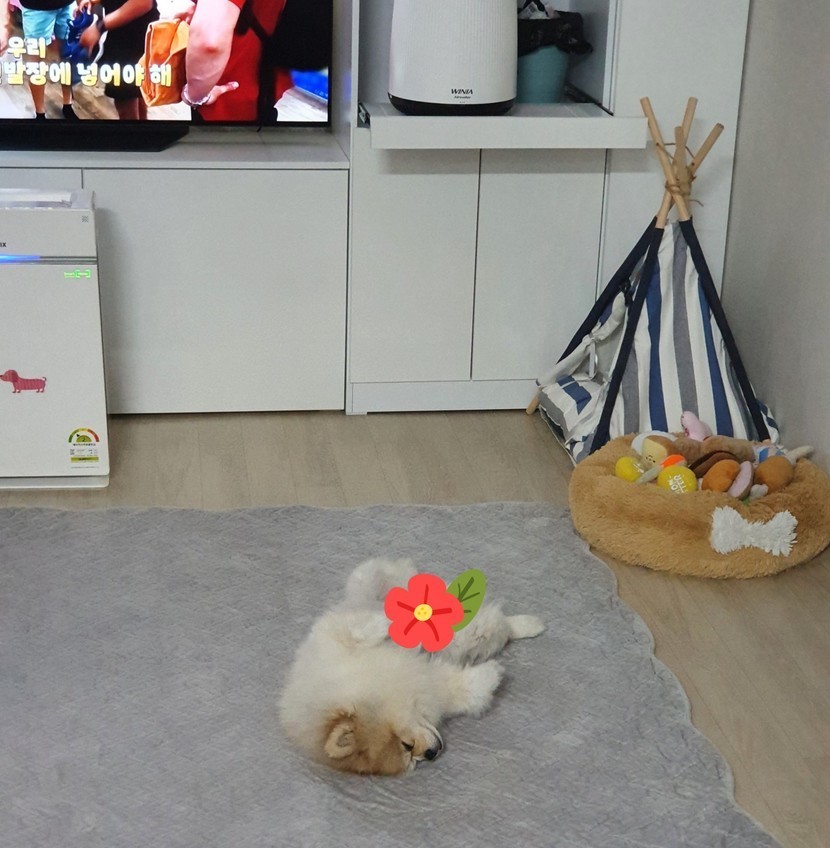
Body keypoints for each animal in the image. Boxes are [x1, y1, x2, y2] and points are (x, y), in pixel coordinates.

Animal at [279, 558, 545, 776]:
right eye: (411, 759)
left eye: (406, 745)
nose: (431, 754)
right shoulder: (435, 686)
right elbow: (467, 690)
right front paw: (492, 674)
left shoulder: (336, 637)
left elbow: (359, 630)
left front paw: (386, 624)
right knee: (497, 629)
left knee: (370, 573)